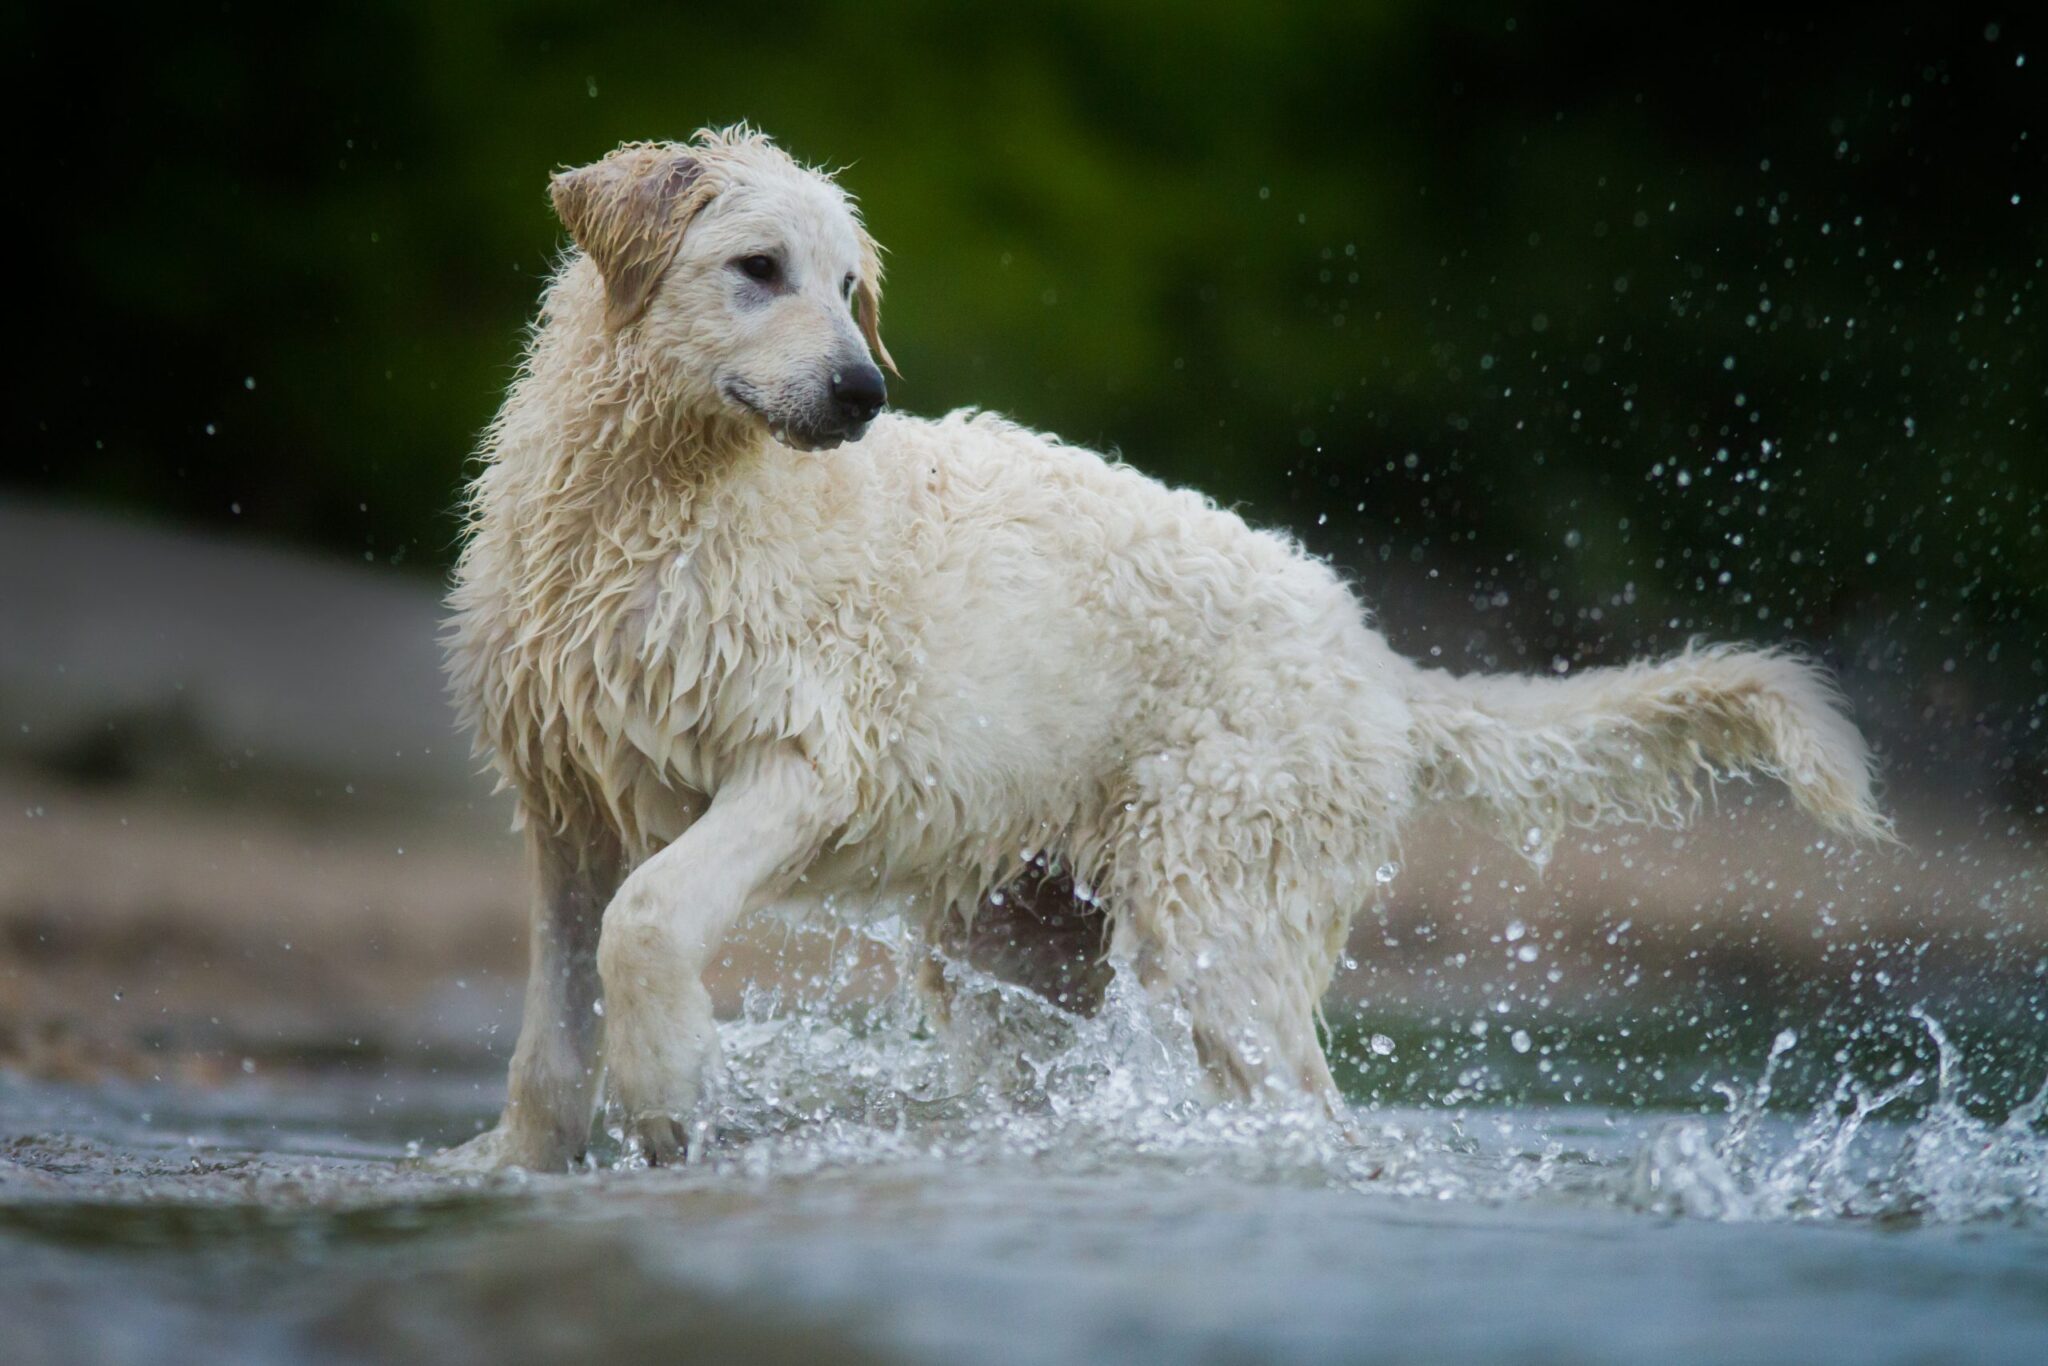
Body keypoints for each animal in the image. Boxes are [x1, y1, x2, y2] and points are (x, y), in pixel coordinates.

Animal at [432, 131, 1884, 1179]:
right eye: (755, 266)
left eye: (849, 289)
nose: (864, 393)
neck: (662, 501)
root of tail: (1369, 653)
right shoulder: (566, 807)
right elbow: (552, 1030)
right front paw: (517, 1165)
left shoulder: (804, 757)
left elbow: (652, 914)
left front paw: (667, 1093)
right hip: (1018, 949)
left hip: (1223, 907)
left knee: (1308, 1111)